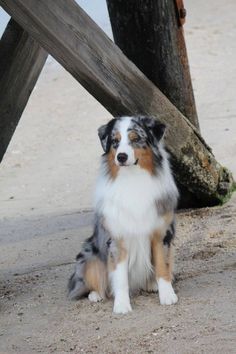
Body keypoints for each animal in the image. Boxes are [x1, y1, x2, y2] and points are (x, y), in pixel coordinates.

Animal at [68, 115, 179, 312]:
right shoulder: (117, 238)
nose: (121, 156)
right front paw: (121, 305)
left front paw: (167, 295)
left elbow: (162, 266)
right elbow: (120, 277)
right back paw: (96, 294)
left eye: (135, 139)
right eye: (115, 142)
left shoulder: (161, 234)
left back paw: (152, 285)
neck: (133, 178)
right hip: (89, 255)